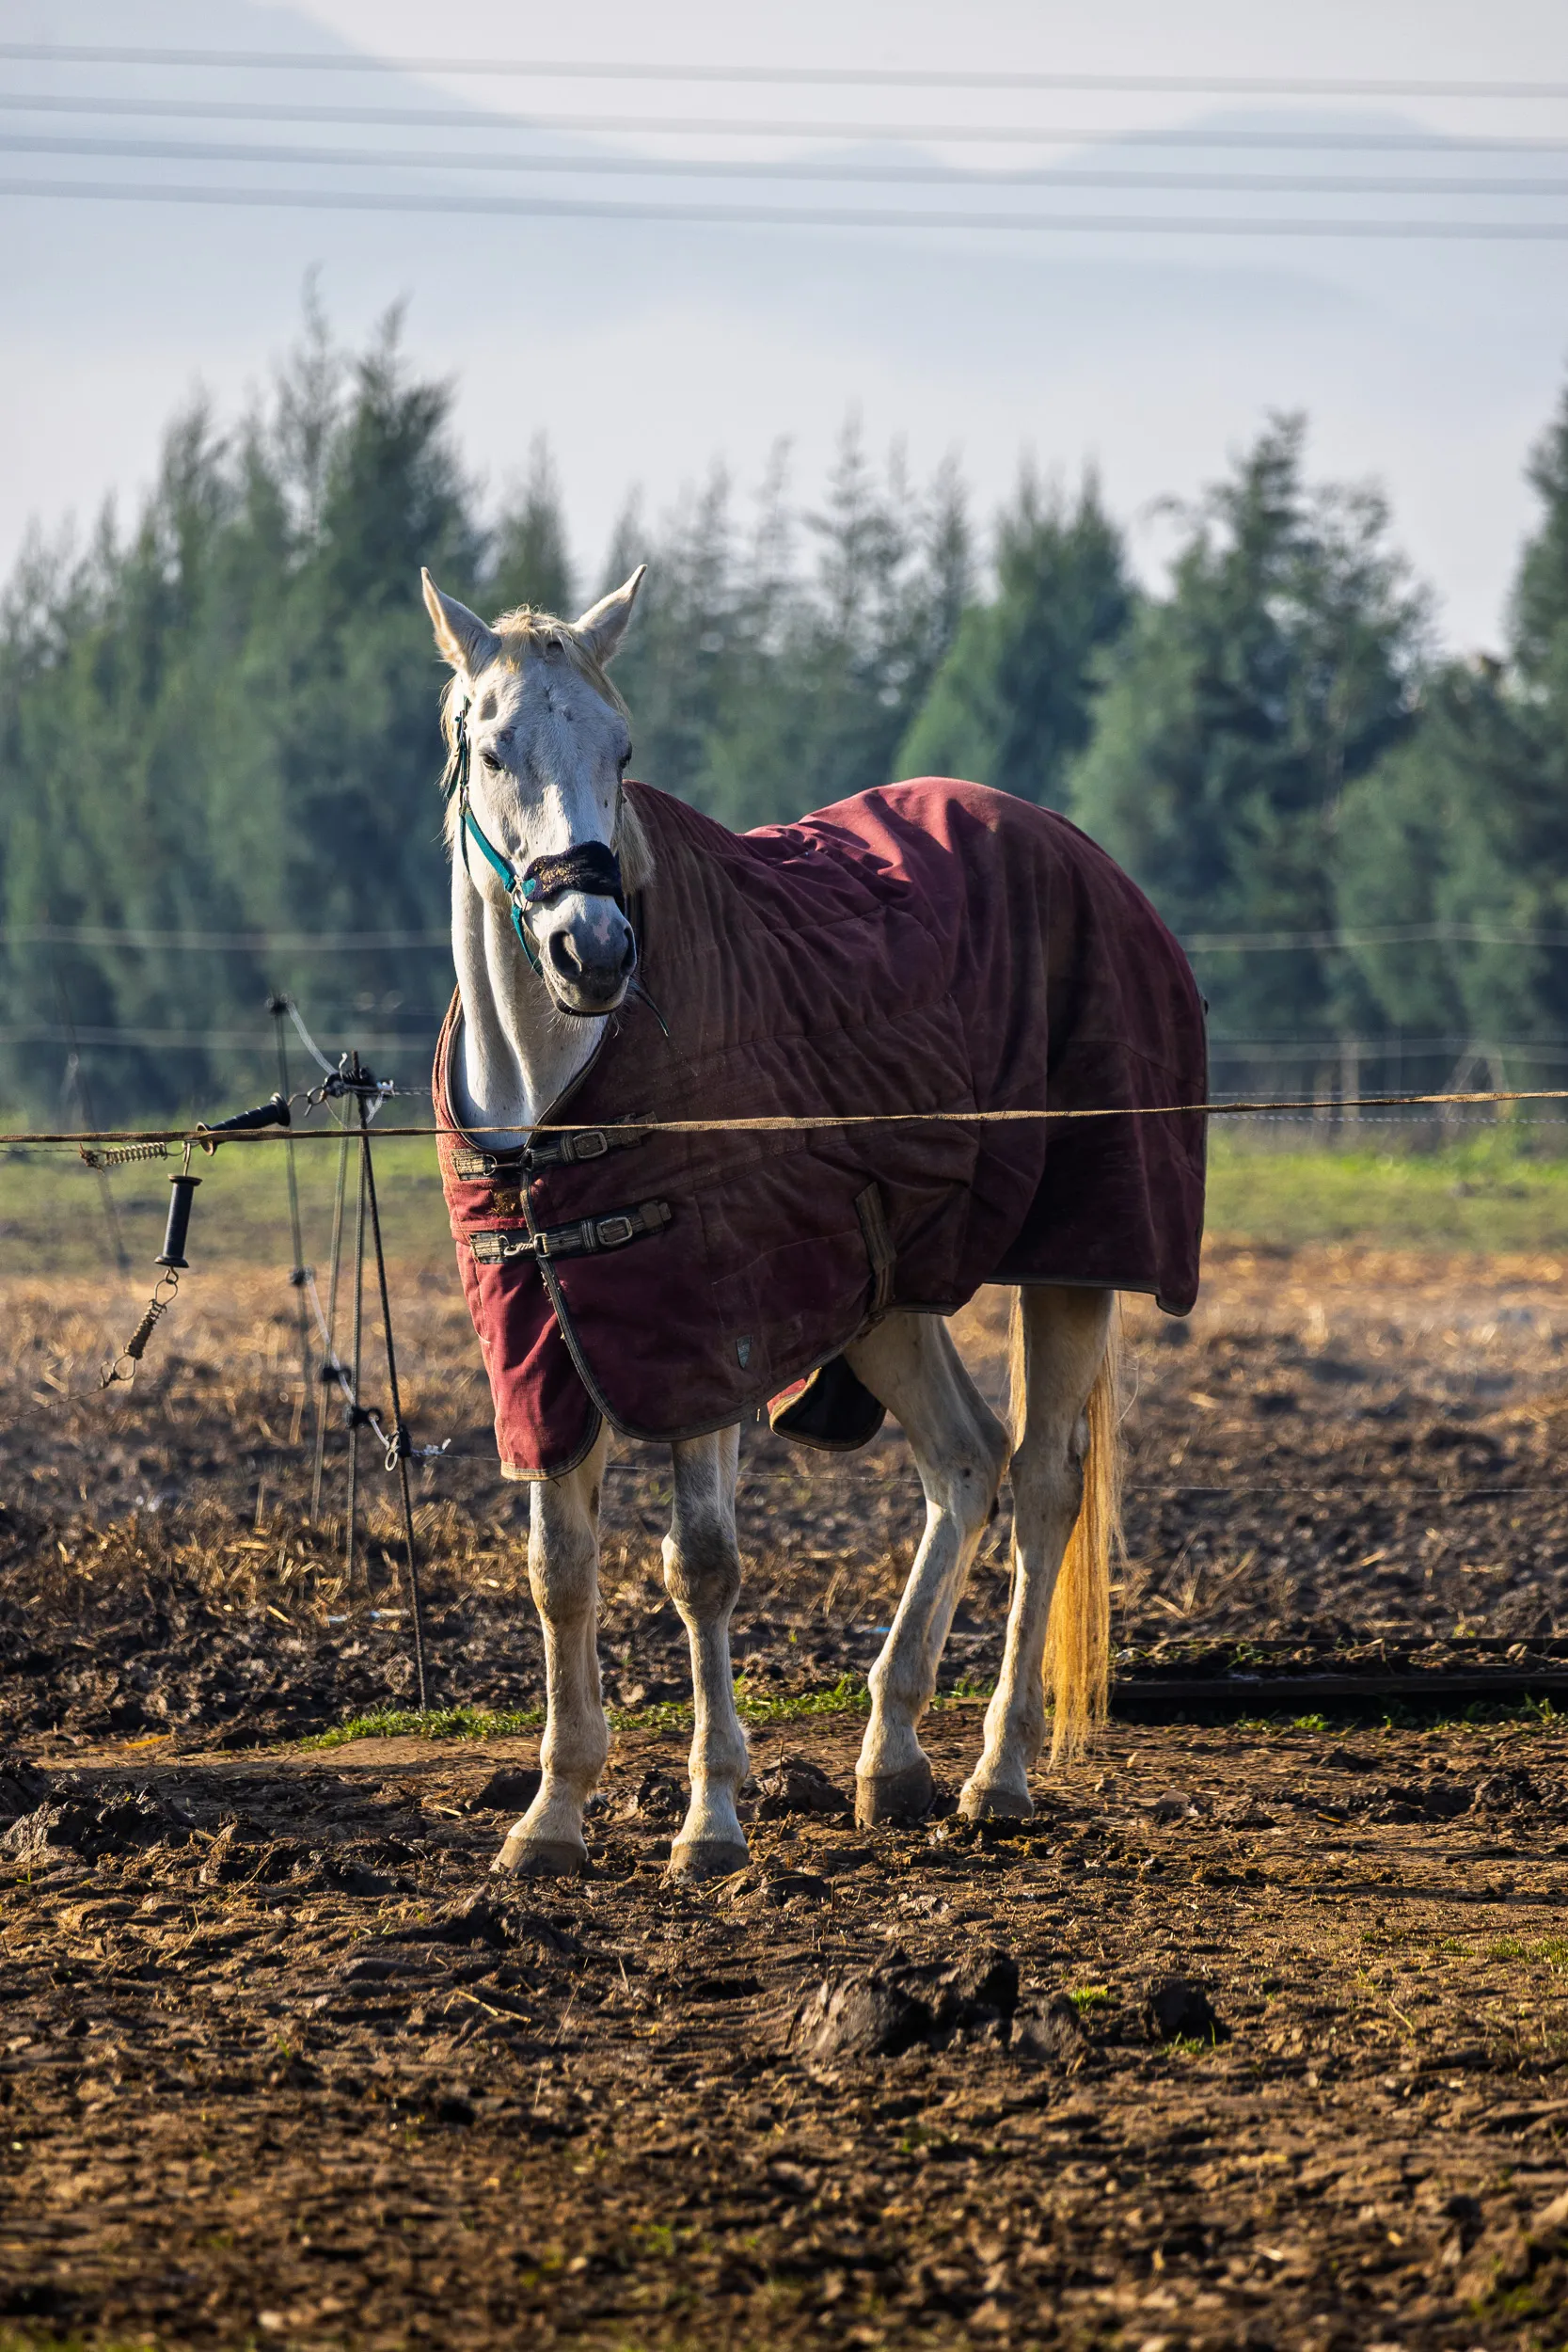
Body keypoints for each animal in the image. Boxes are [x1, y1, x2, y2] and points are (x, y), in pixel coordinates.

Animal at [420, 564, 1206, 1882]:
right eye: (491, 750)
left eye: (621, 750)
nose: (593, 948)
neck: (556, 1083)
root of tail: (1082, 854)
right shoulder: (547, 1351)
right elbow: (557, 1574)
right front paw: (553, 1814)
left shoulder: (702, 1349)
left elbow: (701, 1567)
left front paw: (710, 1818)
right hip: (887, 1296)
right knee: (964, 1458)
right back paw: (889, 1755)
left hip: (1073, 1263)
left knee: (1043, 1482)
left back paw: (996, 1774)